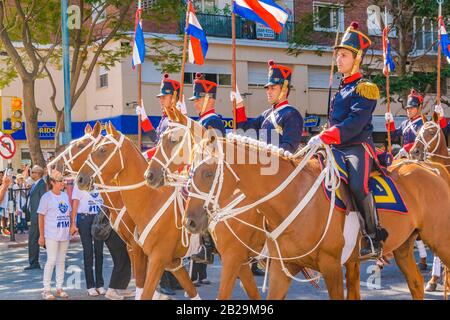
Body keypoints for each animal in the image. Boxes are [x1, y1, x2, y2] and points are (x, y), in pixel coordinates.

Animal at [76, 122, 206, 300]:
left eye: (102, 149)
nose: (80, 179)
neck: (151, 201)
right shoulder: (168, 260)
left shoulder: (155, 257)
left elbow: (144, 288)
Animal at [184, 131, 450, 298]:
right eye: (190, 170)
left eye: (208, 173)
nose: (190, 222)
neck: (293, 196)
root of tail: (430, 168)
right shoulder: (281, 268)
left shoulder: (331, 267)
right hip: (403, 247)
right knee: (415, 285)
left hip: (440, 241)